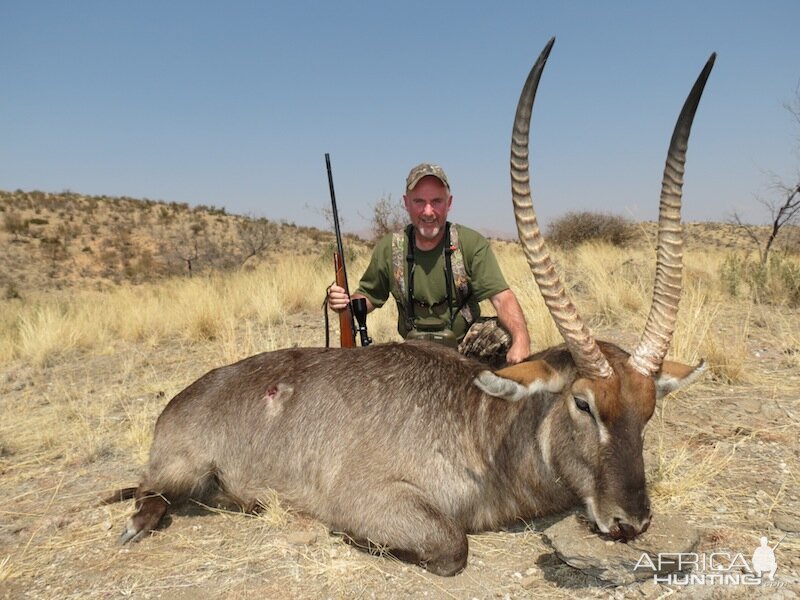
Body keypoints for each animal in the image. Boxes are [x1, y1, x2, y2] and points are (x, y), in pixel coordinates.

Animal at [108, 37, 712, 576]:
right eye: (583, 404)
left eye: (649, 410)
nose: (630, 522)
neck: (483, 425)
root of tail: (179, 401)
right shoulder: (374, 496)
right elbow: (451, 546)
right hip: (182, 471)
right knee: (151, 493)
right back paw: (138, 523)